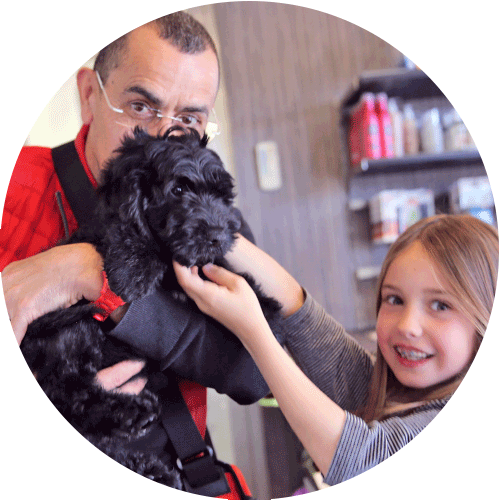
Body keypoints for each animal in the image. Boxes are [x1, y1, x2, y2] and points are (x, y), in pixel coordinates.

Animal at [19, 127, 282, 490]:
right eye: (179, 190)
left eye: (222, 196)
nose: (218, 235)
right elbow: (131, 236)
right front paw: (134, 268)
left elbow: (225, 273)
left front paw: (267, 308)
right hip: (68, 336)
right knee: (69, 391)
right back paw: (134, 413)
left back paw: (155, 468)